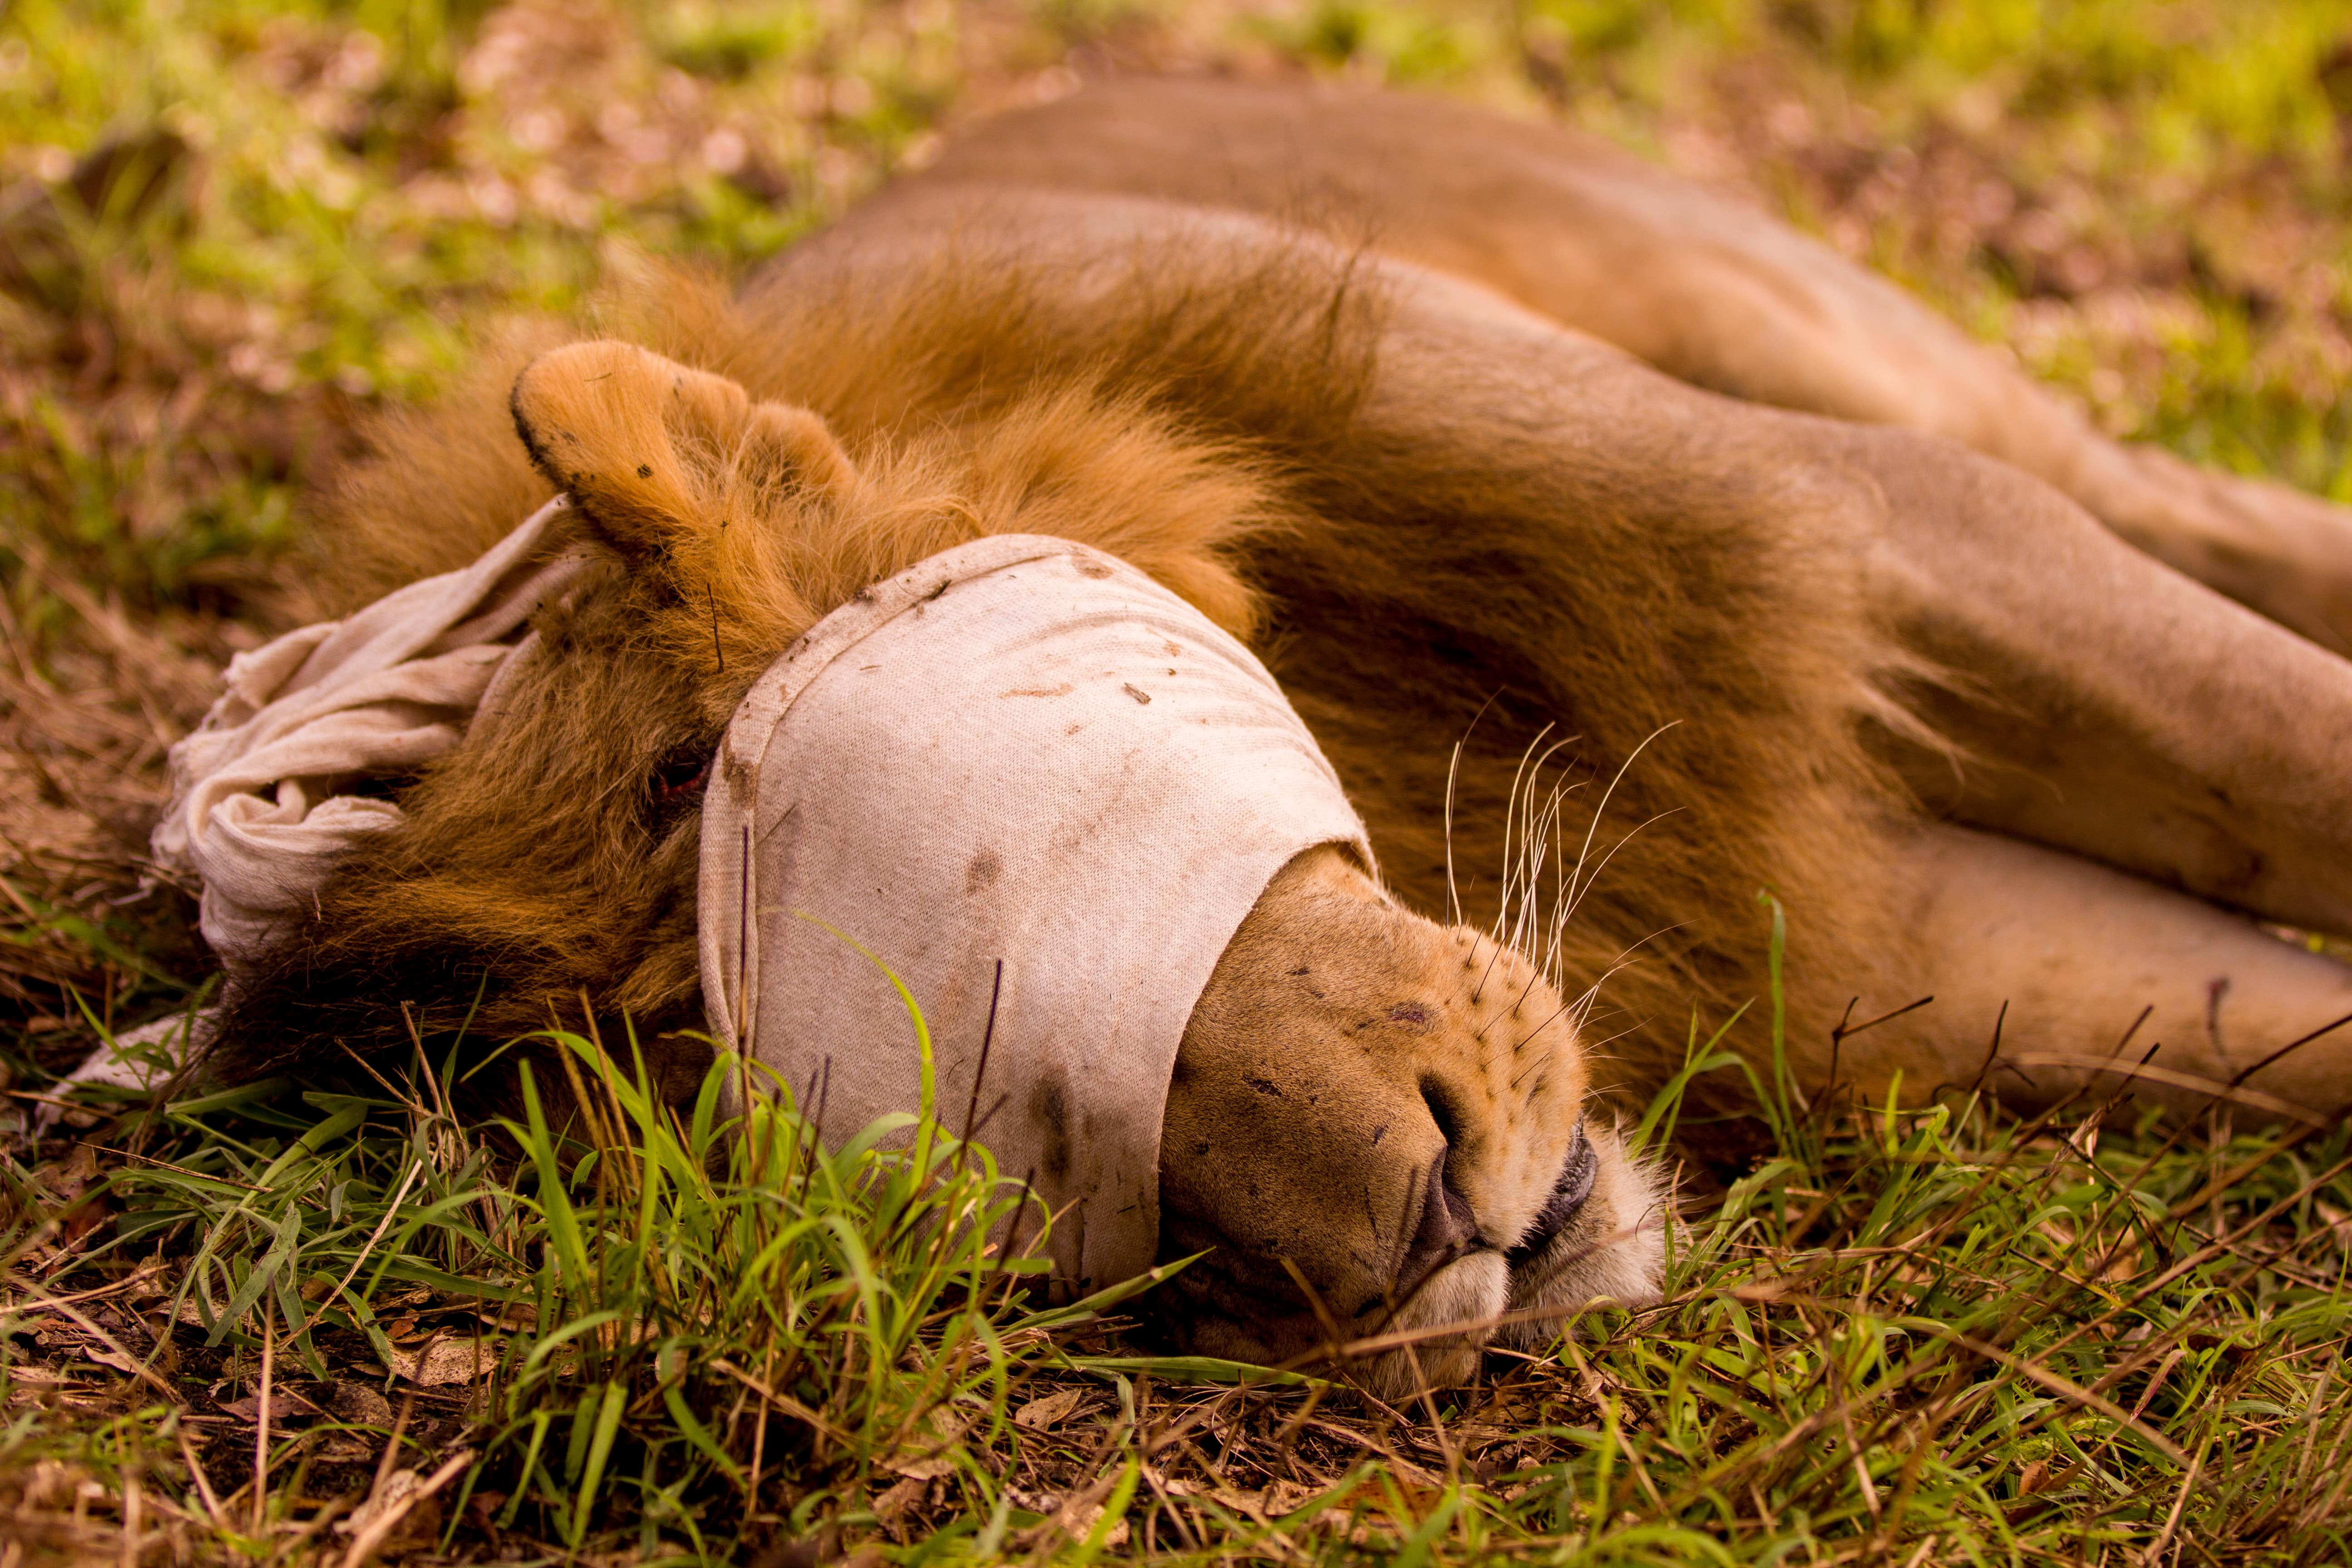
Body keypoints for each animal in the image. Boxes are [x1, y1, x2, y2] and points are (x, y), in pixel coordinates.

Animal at [135, 78, 2352, 1392]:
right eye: (1015, 1136)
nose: (1436, 1229)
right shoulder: (1906, 956)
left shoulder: (1860, 535)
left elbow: (2285, 742)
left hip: (1825, 339)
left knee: (2188, 499)